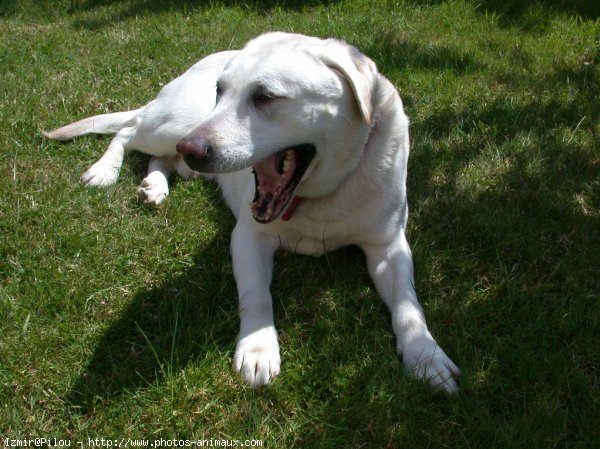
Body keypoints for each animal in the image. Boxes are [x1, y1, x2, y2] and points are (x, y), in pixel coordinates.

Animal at [45, 32, 460, 392]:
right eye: (220, 92)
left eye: (266, 97)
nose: (193, 149)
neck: (321, 197)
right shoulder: (247, 236)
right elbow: (257, 295)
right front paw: (258, 348)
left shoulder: (389, 246)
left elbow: (408, 306)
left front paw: (426, 356)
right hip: (171, 126)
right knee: (128, 132)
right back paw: (105, 170)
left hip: (175, 137)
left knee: (158, 157)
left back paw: (155, 185)